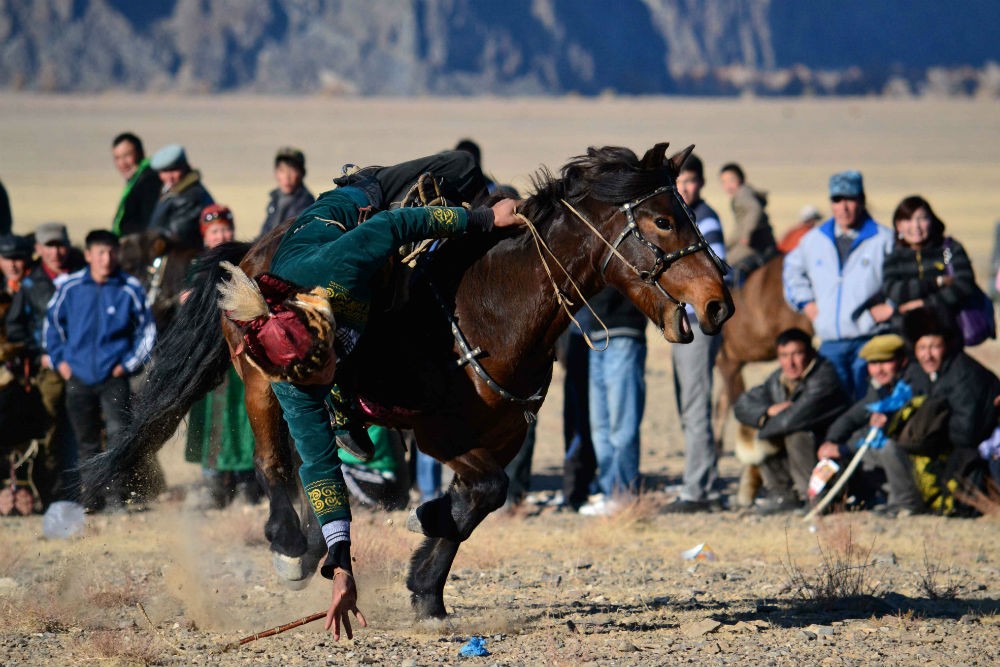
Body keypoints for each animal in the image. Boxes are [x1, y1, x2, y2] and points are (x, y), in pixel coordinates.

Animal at [82, 142, 732, 620]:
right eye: (663, 220)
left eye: (689, 214)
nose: (718, 302)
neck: (494, 305)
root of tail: (250, 255)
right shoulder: (441, 435)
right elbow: (485, 491)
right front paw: (425, 547)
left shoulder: (504, 435)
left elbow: (478, 501)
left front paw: (427, 582)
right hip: (262, 380)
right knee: (272, 463)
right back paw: (290, 547)